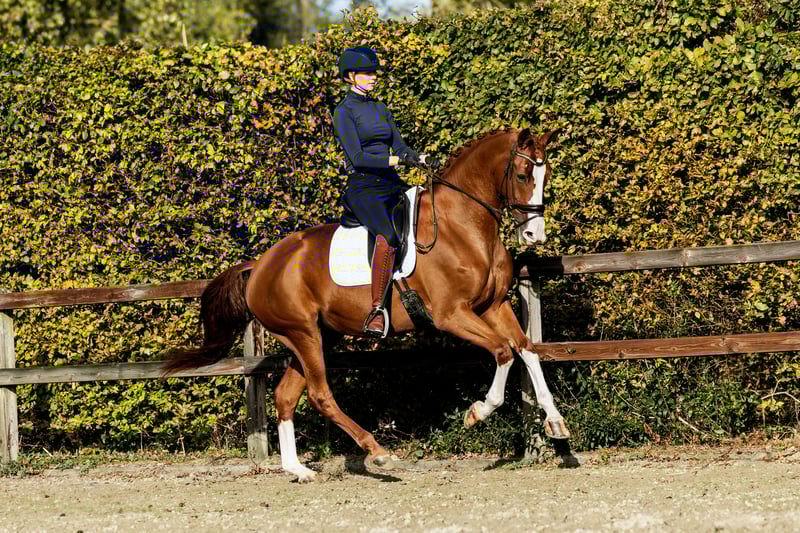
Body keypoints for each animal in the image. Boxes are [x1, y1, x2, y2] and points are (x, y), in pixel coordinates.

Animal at [162, 127, 573, 482]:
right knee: (320, 395)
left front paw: (555, 422)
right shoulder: (452, 314)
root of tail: (260, 265)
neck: (462, 225)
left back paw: (298, 469)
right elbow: (503, 352)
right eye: (522, 174)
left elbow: (526, 349)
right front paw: (477, 412)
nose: (534, 234)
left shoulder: (494, 306)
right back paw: (376, 451)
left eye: (546, 175)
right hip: (304, 334)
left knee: (285, 396)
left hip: (314, 337)